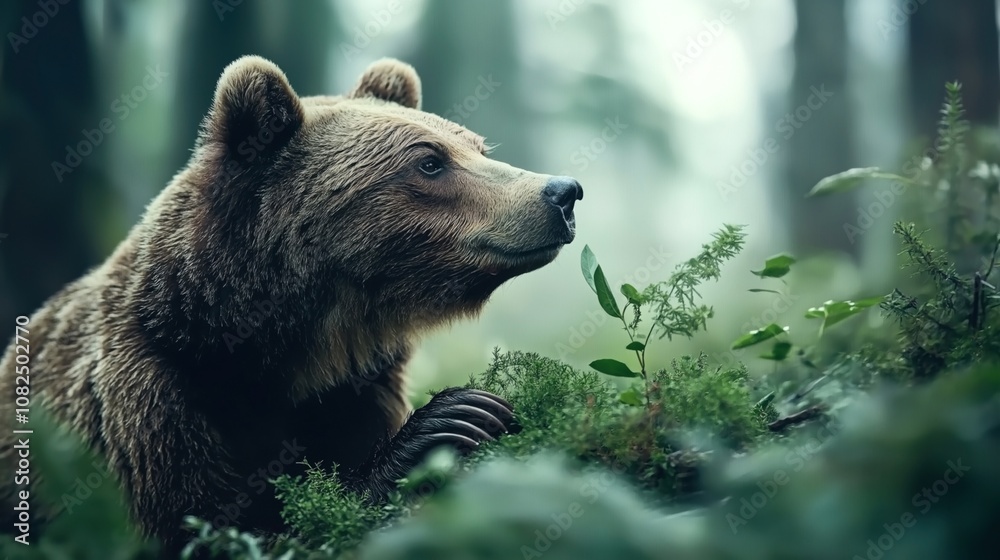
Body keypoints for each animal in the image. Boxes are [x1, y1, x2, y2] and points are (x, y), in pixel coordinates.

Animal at [0, 55, 583, 554]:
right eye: (430, 161)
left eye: (478, 148)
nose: (562, 192)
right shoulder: (153, 393)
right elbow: (202, 525)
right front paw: (451, 420)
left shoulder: (357, 384)